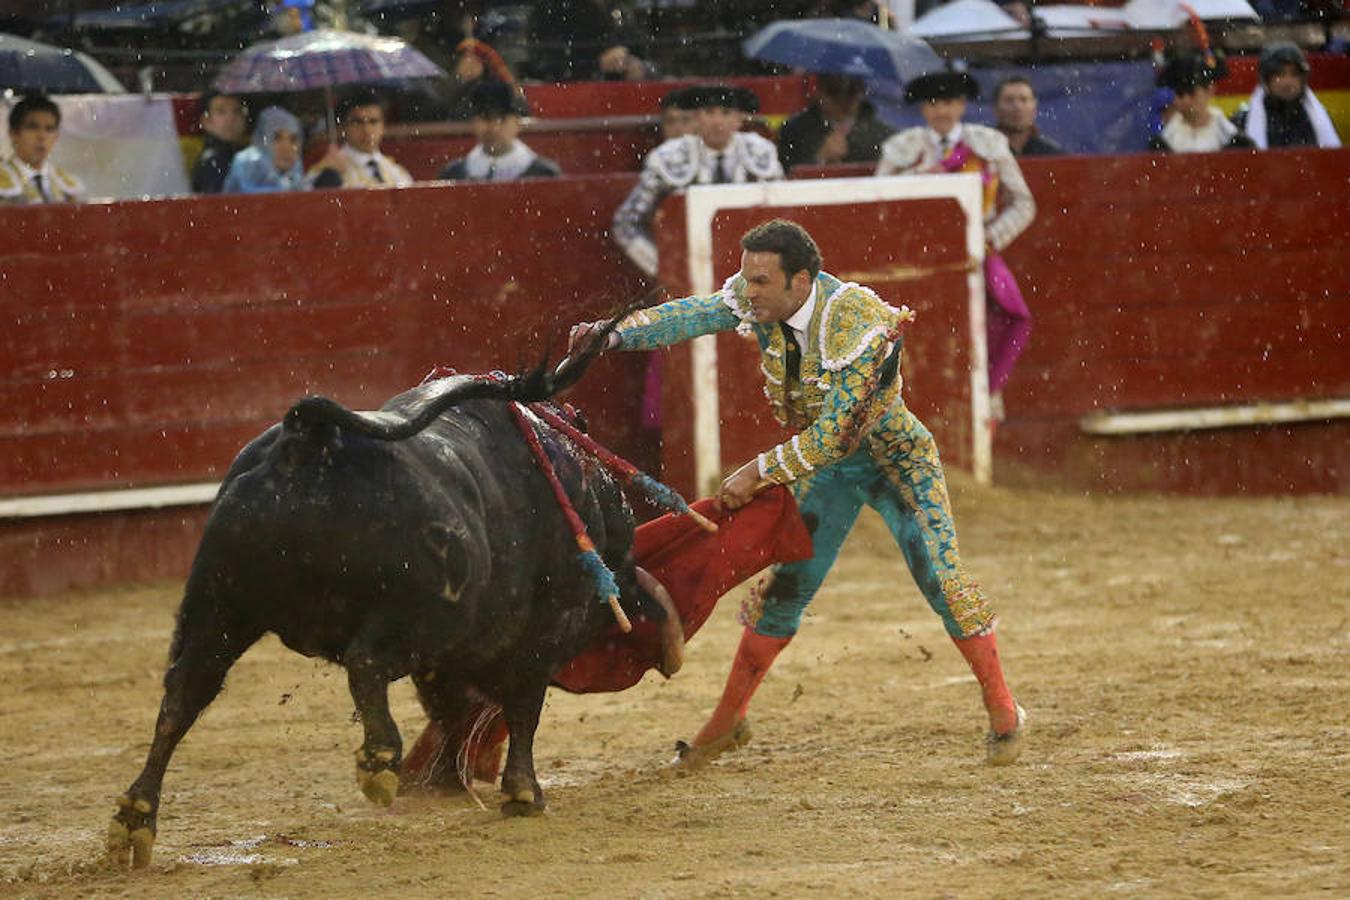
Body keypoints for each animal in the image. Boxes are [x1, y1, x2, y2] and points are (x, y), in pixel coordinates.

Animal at [109, 334, 669, 868]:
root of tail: (311, 440)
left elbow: (454, 707)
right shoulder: (542, 631)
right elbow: (521, 707)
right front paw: (522, 794)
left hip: (219, 608)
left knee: (183, 695)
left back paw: (135, 817)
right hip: (425, 616)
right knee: (365, 662)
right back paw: (380, 760)